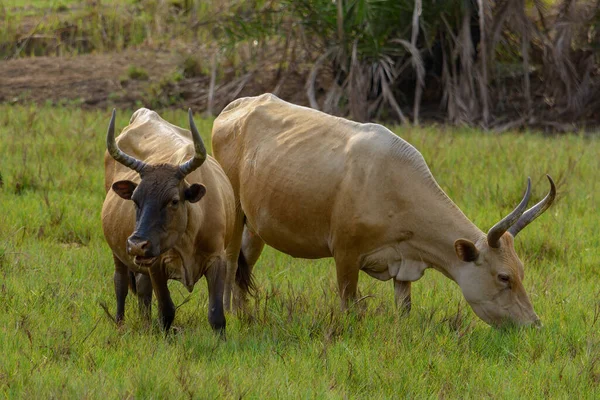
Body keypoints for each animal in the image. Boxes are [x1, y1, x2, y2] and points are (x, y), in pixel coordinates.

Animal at [101, 108, 244, 332]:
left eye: (174, 201)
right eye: (135, 199)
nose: (137, 244)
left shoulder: (217, 260)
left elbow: (216, 315)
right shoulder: (157, 264)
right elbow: (166, 311)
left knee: (142, 287)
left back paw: (145, 323)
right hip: (119, 253)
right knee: (121, 283)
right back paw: (120, 324)